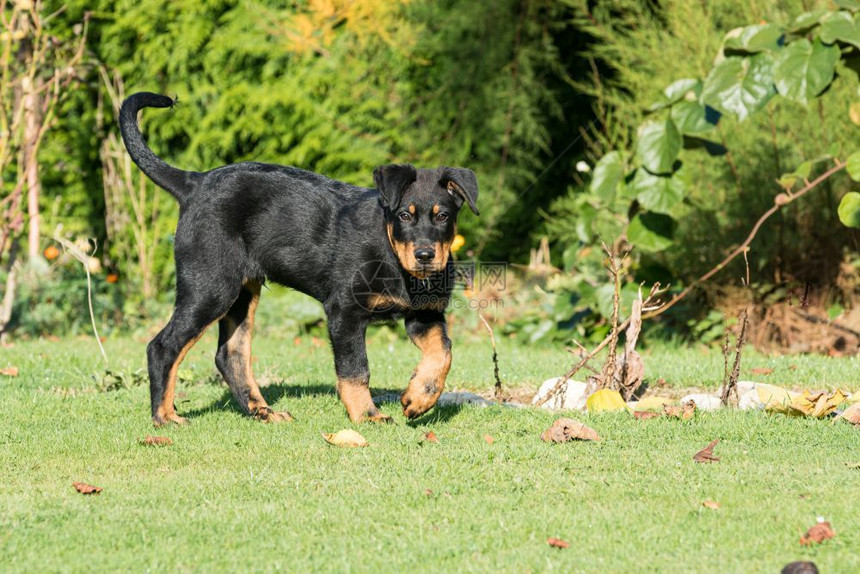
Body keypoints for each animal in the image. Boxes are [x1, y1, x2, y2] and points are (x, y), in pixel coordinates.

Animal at [120, 92, 478, 428]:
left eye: (443, 216)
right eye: (404, 215)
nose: (425, 255)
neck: (391, 252)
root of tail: (194, 183)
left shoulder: (425, 315)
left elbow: (443, 352)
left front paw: (419, 398)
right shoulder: (344, 312)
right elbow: (355, 369)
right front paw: (367, 416)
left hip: (242, 292)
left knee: (230, 354)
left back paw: (262, 411)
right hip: (211, 285)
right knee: (163, 346)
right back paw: (165, 416)